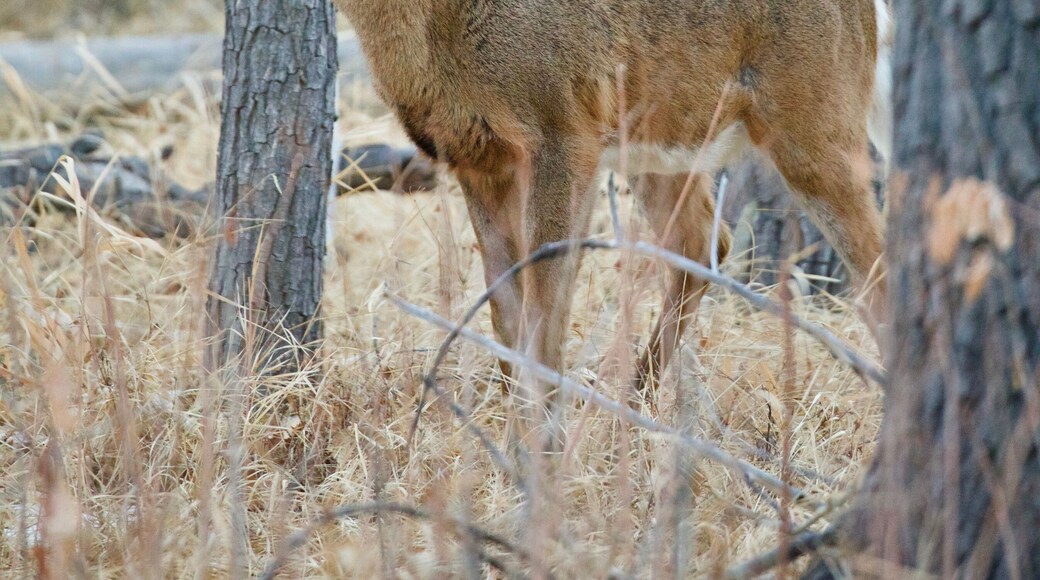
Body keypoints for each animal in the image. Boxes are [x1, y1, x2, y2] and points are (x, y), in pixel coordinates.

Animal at [336, 0, 893, 444]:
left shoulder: (562, 130)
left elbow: (544, 312)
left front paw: (538, 445)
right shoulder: (477, 158)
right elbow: (506, 314)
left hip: (816, 117)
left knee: (878, 264)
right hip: (661, 137)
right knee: (704, 241)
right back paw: (630, 406)